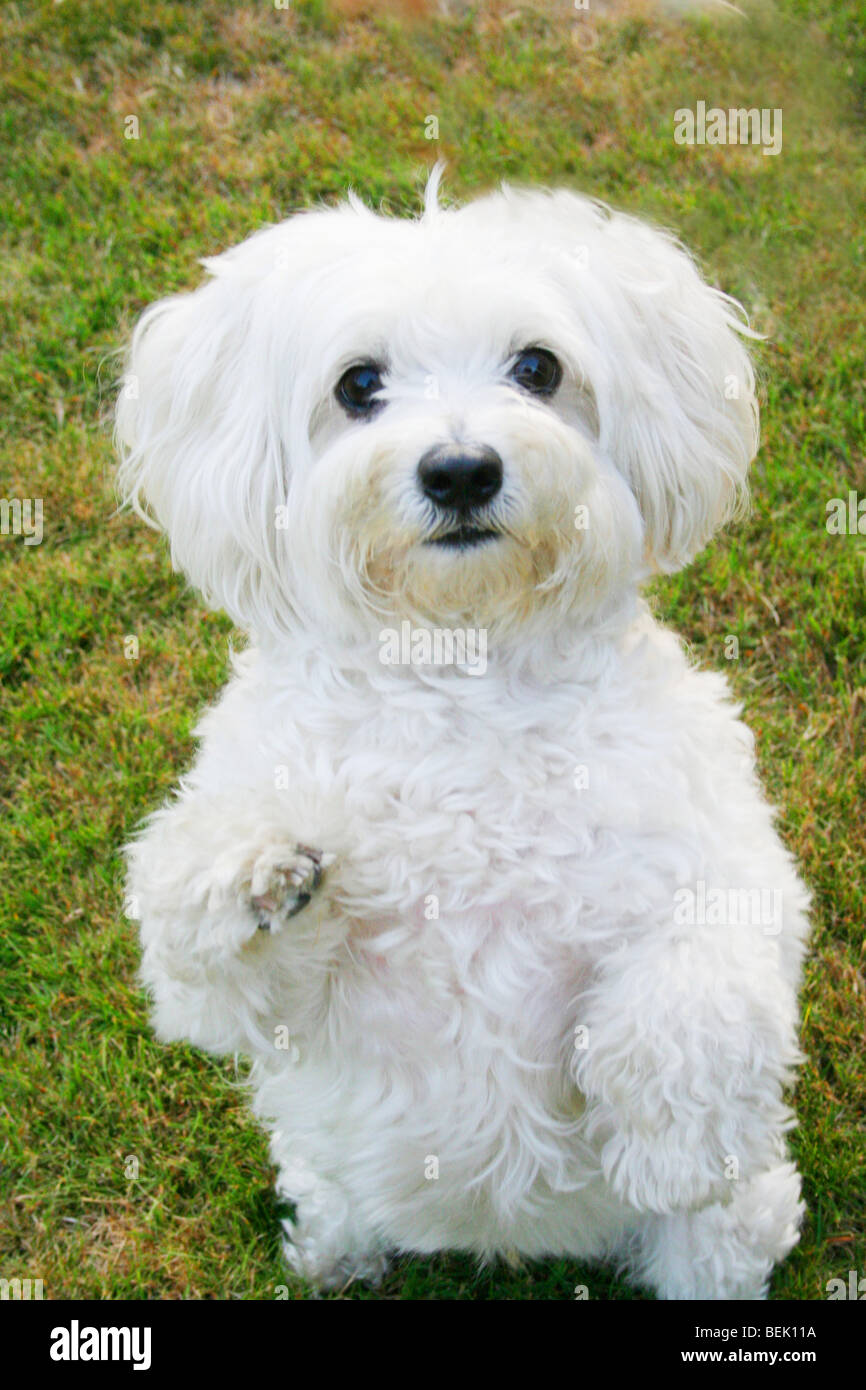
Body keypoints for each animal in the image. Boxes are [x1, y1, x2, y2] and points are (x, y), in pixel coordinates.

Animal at [116, 168, 811, 1295]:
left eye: (538, 367)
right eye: (358, 385)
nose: (459, 471)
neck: (464, 671)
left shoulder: (726, 854)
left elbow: (701, 976)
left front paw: (667, 1144)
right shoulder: (246, 1001)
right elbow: (200, 938)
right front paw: (254, 862)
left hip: (729, 1232)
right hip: (322, 1160)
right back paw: (334, 1254)